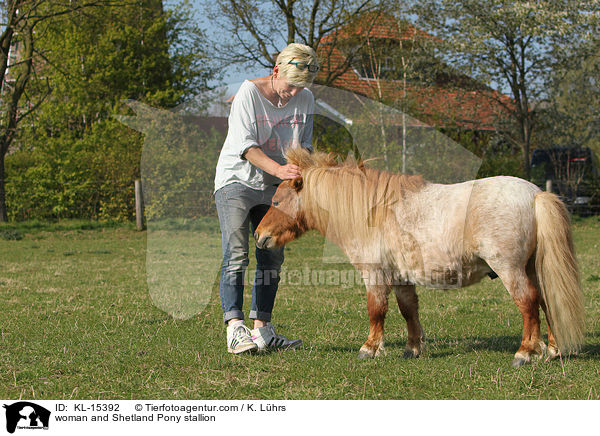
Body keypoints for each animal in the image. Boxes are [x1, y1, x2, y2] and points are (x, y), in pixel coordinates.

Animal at [255, 148, 584, 366]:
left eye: (276, 201)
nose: (259, 235)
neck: (373, 212)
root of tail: (535, 195)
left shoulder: (375, 274)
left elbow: (376, 310)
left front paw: (370, 348)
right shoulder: (401, 277)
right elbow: (408, 311)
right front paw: (413, 348)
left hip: (510, 269)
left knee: (528, 303)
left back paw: (525, 352)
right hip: (532, 268)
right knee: (546, 301)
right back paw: (552, 350)